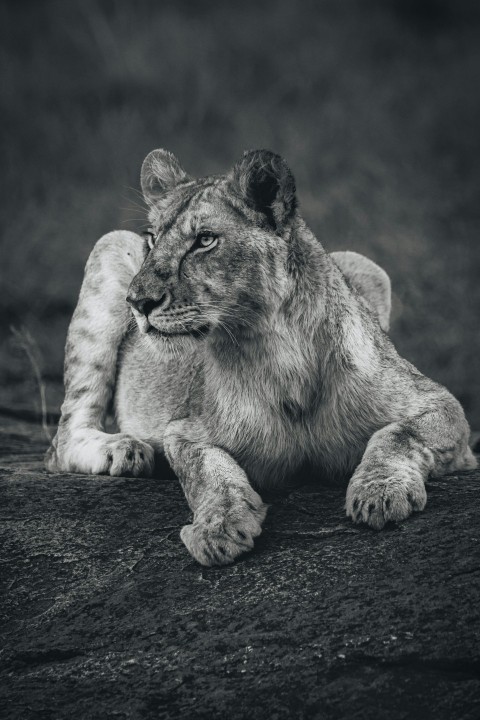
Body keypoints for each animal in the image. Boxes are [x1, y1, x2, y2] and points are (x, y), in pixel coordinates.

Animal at [45, 149, 477, 566]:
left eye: (205, 240)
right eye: (150, 240)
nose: (137, 302)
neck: (279, 354)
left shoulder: (442, 405)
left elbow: (398, 434)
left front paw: (380, 492)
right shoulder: (185, 431)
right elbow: (209, 472)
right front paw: (219, 527)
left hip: (367, 267)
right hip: (109, 247)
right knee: (62, 440)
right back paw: (125, 450)